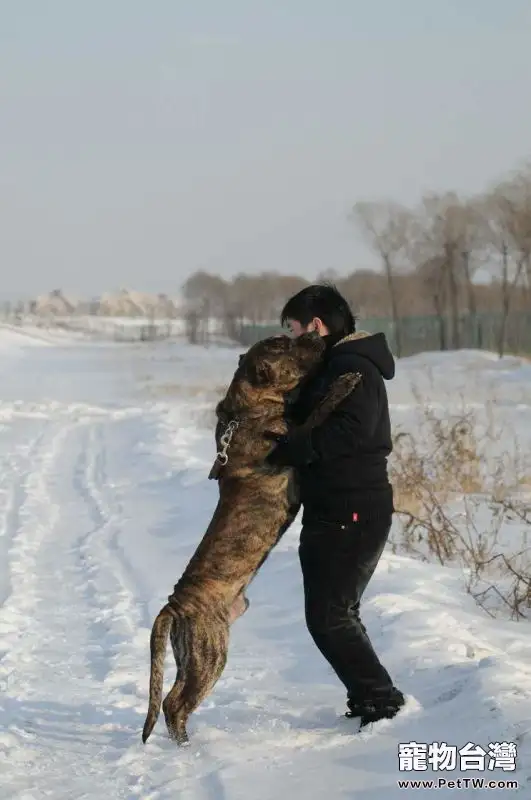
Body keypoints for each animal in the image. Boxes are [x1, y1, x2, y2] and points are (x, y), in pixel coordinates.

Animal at [141, 332, 362, 744]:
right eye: (285, 345)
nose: (311, 335)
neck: (246, 410)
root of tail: (174, 605)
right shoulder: (295, 438)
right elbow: (318, 411)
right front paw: (343, 384)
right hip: (210, 653)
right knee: (176, 703)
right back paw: (188, 749)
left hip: (189, 654)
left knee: (172, 698)